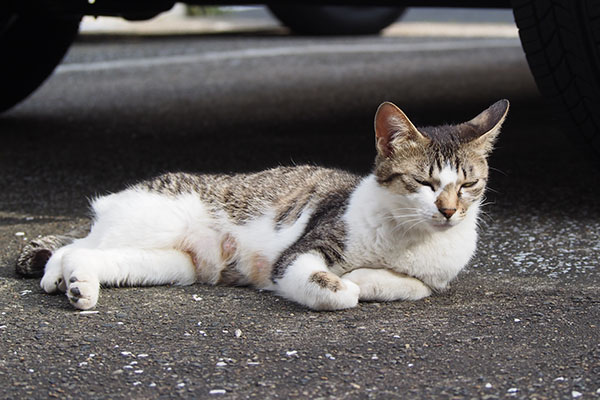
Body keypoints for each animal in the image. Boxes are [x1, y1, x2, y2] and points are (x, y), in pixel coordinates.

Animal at [16, 98, 508, 310]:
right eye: (424, 182)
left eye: (468, 184)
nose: (448, 211)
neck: (409, 238)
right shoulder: (300, 252)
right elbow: (331, 289)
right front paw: (347, 285)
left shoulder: (435, 280)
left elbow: (410, 286)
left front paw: (368, 280)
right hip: (149, 224)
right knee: (73, 245)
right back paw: (57, 276)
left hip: (171, 264)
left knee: (90, 254)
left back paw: (79, 285)